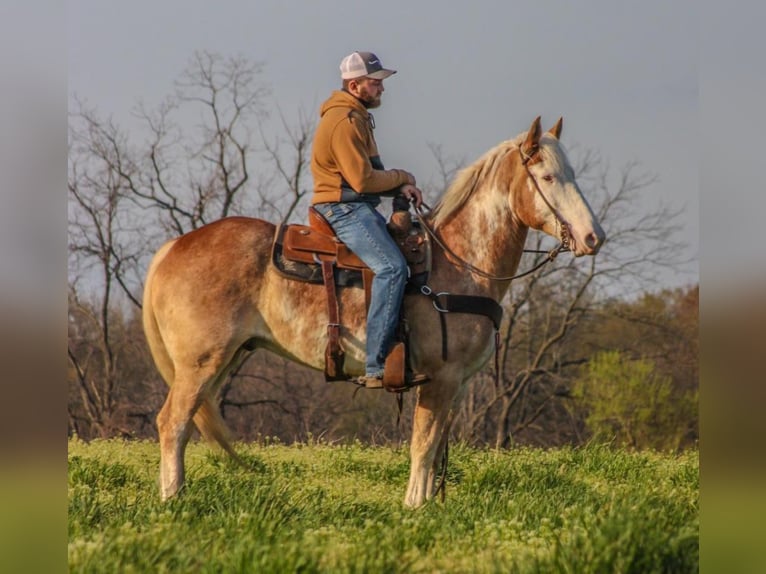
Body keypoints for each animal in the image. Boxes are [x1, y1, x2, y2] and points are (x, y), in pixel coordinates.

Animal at [140, 116, 608, 508]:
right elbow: (424, 444)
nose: (594, 237)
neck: (459, 262)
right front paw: (414, 507)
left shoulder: (455, 385)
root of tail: (174, 247)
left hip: (220, 361)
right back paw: (172, 500)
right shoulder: (440, 379)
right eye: (547, 177)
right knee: (172, 423)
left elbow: (437, 447)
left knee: (185, 424)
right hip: (201, 363)